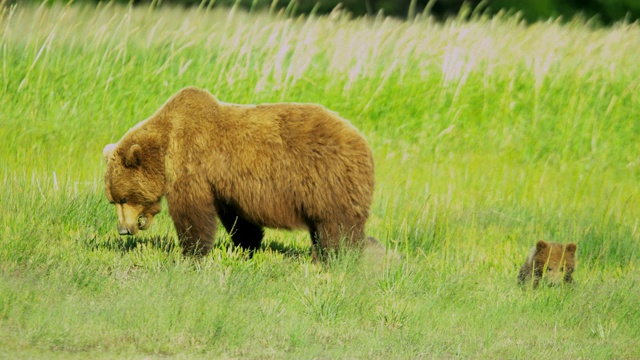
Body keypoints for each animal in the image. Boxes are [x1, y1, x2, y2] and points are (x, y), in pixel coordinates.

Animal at [103, 87, 378, 258]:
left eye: (124, 197)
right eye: (112, 200)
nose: (123, 230)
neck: (165, 147)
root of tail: (363, 142)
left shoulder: (193, 164)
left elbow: (192, 214)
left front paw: (191, 253)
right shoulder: (225, 185)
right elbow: (239, 219)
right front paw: (247, 246)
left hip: (329, 181)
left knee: (338, 227)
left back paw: (336, 257)